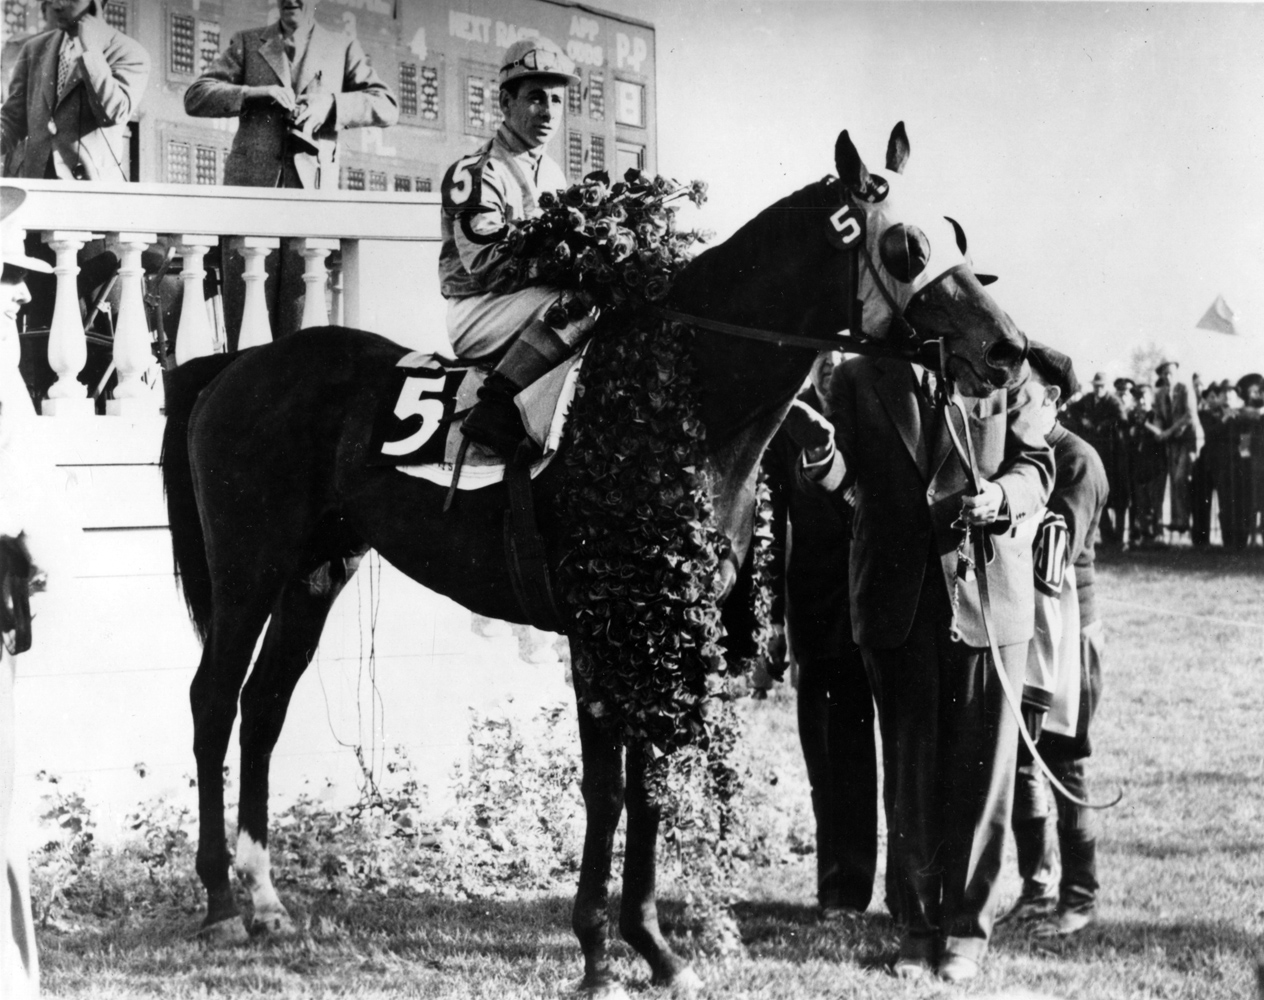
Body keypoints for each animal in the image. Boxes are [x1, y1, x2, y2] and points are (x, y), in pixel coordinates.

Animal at [160, 123, 1026, 991]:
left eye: (956, 235)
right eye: (909, 246)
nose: (1009, 349)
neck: (674, 399)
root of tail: (234, 364)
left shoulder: (664, 627)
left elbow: (647, 788)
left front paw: (654, 947)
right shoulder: (601, 627)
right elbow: (608, 789)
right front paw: (598, 951)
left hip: (315, 575)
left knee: (264, 706)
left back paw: (266, 900)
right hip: (247, 569)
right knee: (211, 700)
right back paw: (221, 904)